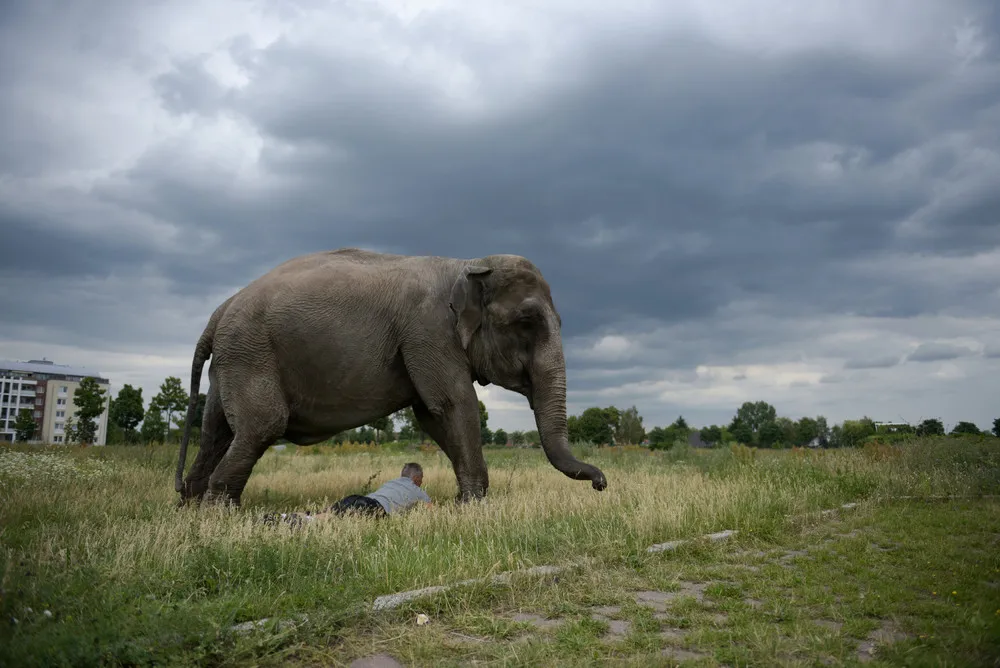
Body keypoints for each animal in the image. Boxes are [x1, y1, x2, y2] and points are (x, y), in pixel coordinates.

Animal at [174, 248, 607, 506]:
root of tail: (220, 311)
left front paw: (465, 504)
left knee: (216, 431)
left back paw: (193, 509)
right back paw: (222, 516)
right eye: (526, 322)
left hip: (234, 361)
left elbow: (433, 416)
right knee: (262, 426)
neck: (464, 264)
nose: (601, 484)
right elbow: (453, 403)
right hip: (251, 353)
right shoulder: (427, 330)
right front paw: (473, 507)